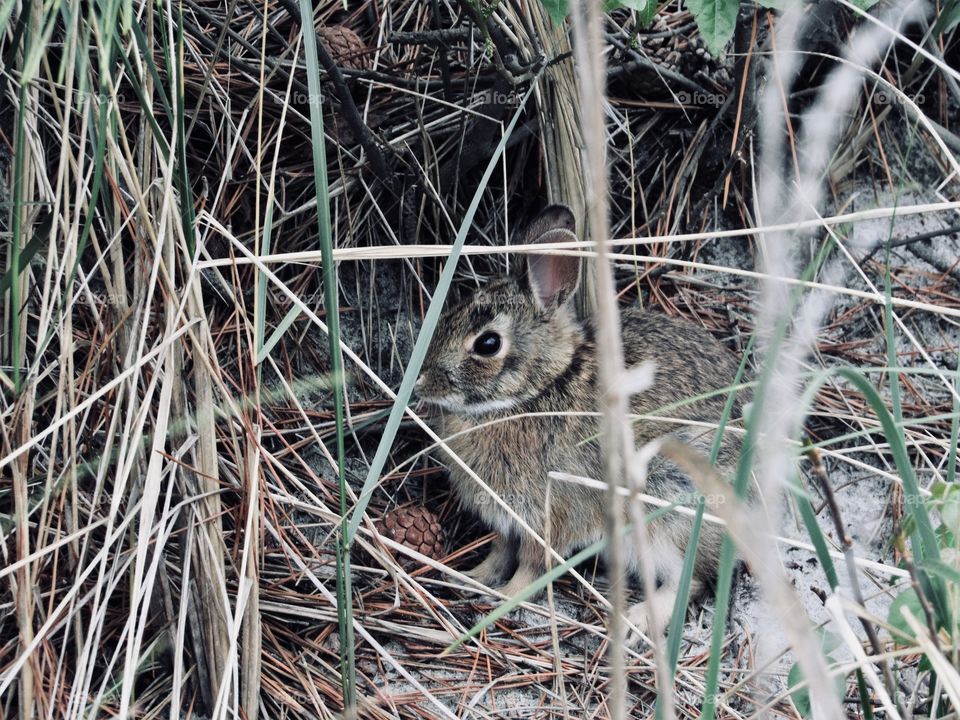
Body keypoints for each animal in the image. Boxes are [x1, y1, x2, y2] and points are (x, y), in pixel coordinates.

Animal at [416, 205, 748, 640]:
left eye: (487, 343)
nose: (421, 381)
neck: (538, 391)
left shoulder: (549, 515)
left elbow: (532, 566)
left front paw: (505, 599)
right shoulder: (507, 522)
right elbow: (500, 552)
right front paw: (472, 577)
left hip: (667, 501)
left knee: (690, 579)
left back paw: (636, 620)